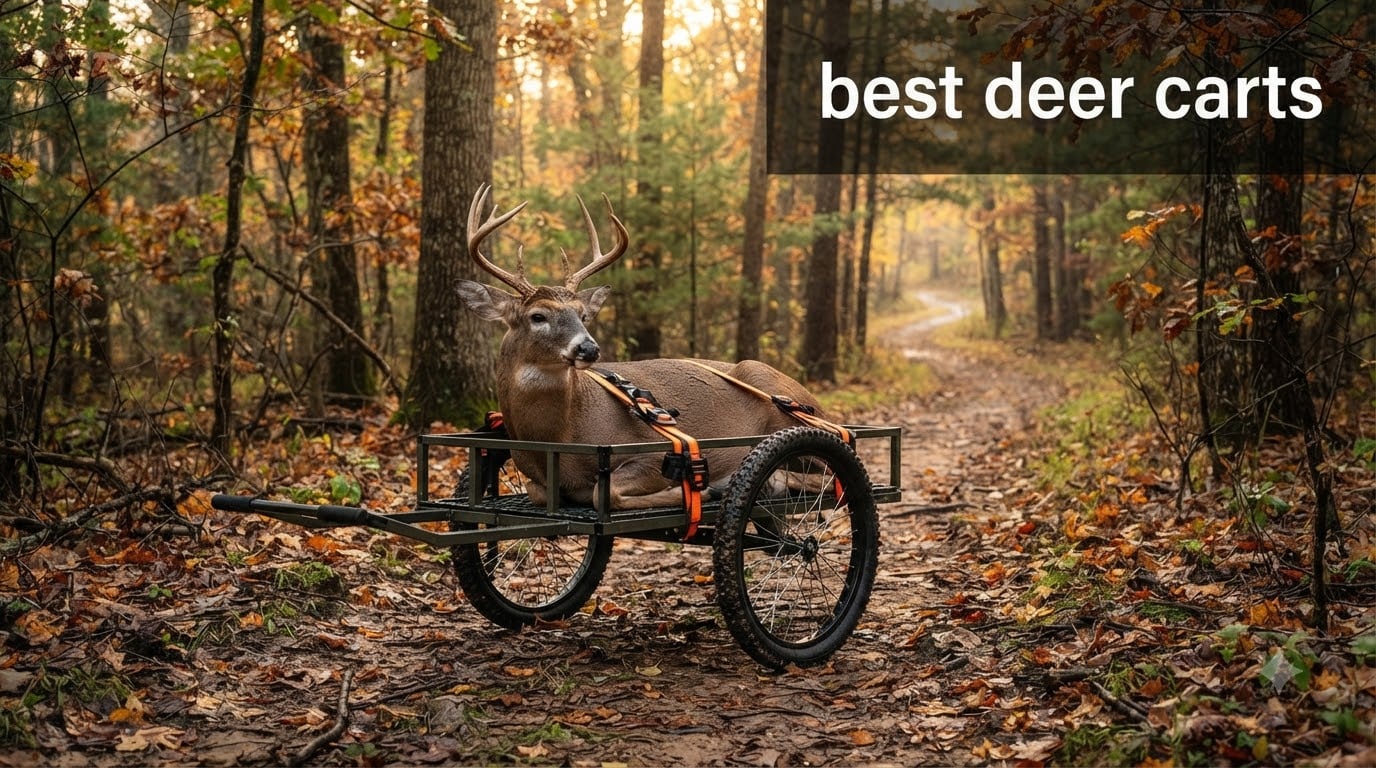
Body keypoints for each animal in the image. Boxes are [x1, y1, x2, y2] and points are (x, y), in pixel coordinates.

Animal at [456, 184, 831, 511]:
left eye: (582, 314)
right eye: (538, 316)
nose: (588, 349)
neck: (560, 437)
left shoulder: (656, 451)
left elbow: (604, 492)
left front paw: (699, 491)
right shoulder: (536, 478)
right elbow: (539, 493)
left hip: (776, 398)